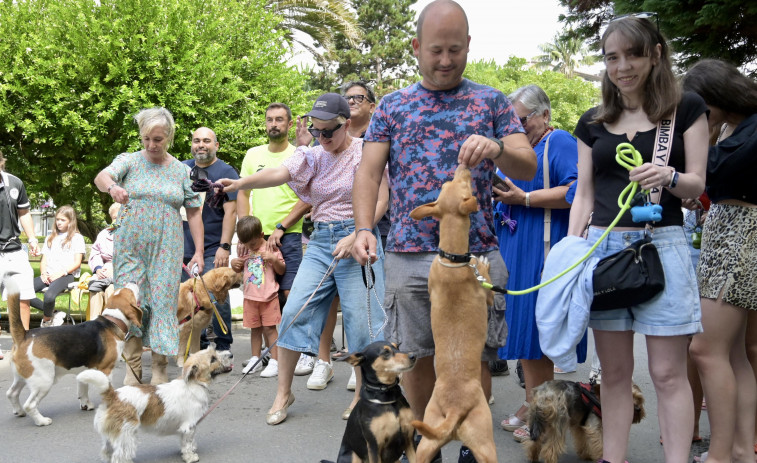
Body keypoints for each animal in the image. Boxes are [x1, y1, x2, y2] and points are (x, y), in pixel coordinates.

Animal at [408, 165, 496, 462]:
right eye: (465, 186)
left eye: (446, 183)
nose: (463, 165)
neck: (452, 259)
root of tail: (455, 410)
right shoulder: (488, 294)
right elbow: (490, 284)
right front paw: (482, 262)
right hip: (485, 440)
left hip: (427, 439)